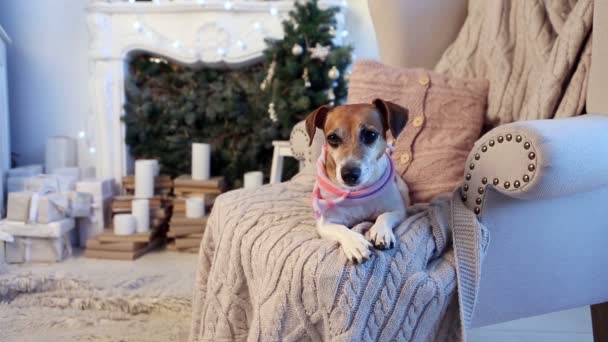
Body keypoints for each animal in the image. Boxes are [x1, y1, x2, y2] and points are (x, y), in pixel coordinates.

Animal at [306, 99, 410, 264]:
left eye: (370, 134)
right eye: (332, 138)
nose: (349, 174)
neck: (358, 192)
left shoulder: (398, 210)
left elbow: (384, 216)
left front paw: (381, 231)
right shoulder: (325, 223)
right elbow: (341, 228)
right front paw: (354, 243)